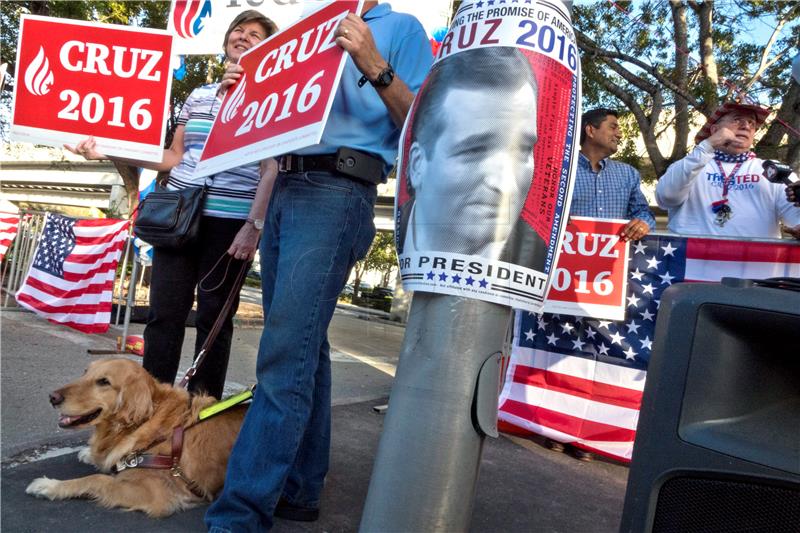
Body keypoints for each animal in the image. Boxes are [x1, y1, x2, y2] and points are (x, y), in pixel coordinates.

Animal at [25, 358, 247, 516]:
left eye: (104, 382)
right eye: (85, 372)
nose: (52, 397)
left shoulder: (155, 492)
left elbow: (97, 479)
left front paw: (50, 485)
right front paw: (90, 454)